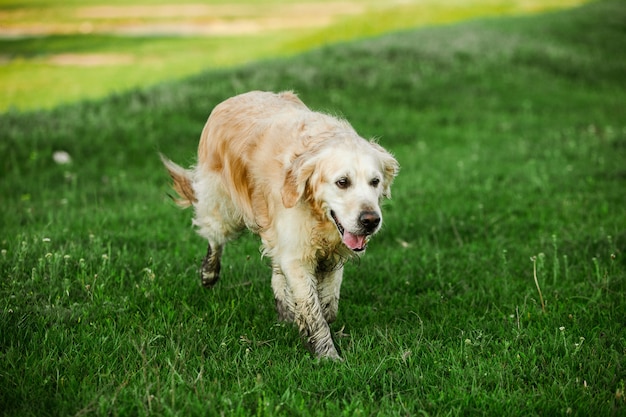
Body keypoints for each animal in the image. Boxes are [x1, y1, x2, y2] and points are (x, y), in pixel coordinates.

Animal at [160, 90, 394, 358]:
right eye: (342, 182)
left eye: (375, 181)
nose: (370, 220)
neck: (317, 214)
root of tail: (231, 99)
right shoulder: (296, 254)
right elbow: (313, 310)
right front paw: (327, 355)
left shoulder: (331, 250)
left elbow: (329, 302)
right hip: (221, 206)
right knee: (215, 238)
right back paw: (209, 274)